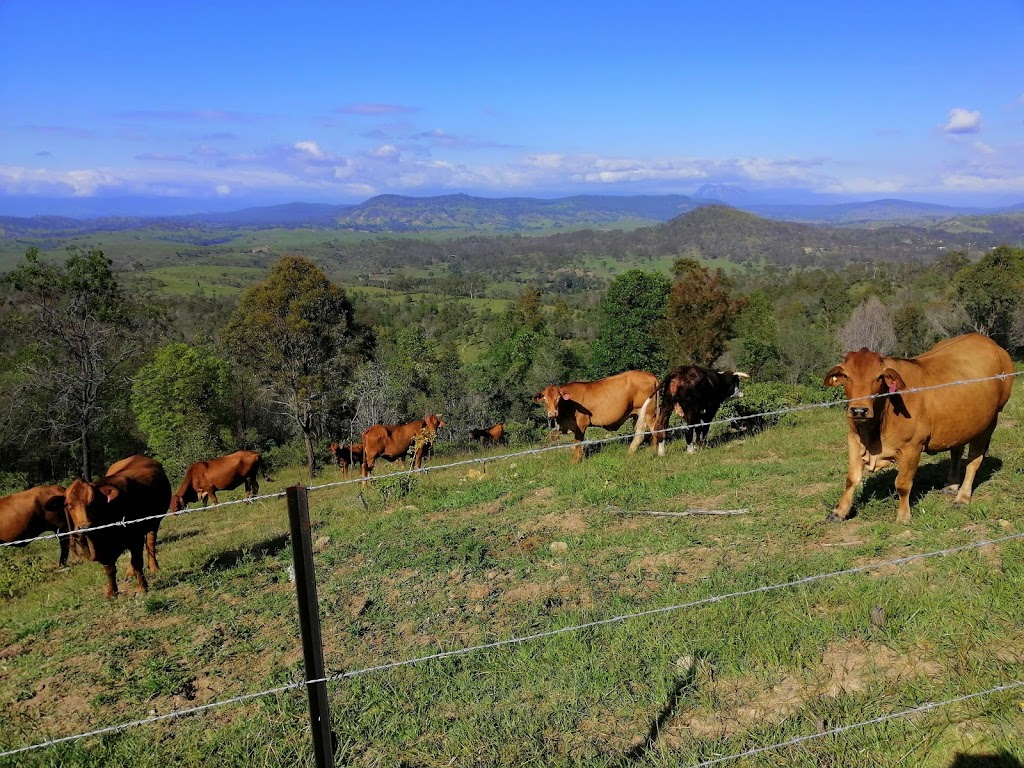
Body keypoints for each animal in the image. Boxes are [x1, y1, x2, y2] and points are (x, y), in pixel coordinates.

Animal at [63, 454, 171, 598]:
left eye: (94, 501)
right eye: (68, 504)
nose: (85, 527)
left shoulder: (135, 536)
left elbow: (137, 562)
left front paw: (142, 587)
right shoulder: (105, 549)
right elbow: (109, 568)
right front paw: (112, 592)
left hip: (154, 522)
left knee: (150, 542)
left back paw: (154, 568)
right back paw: (130, 573)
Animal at [819, 333, 1011, 528]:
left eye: (879, 377)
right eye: (845, 375)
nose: (859, 410)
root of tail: (988, 342)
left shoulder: (912, 447)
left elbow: (903, 484)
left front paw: (904, 516)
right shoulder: (853, 439)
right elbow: (852, 479)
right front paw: (838, 512)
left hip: (989, 423)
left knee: (973, 461)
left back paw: (962, 497)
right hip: (959, 425)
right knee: (956, 451)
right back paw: (951, 485)